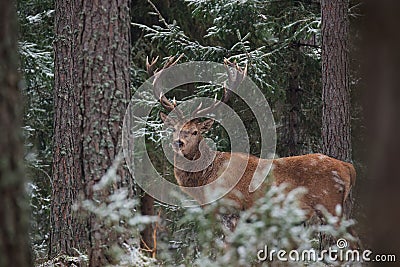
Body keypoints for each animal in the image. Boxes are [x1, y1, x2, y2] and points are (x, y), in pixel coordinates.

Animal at [148, 57, 356, 228]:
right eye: (173, 128)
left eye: (195, 131)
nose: (178, 143)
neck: (205, 182)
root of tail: (348, 167)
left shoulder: (232, 209)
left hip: (330, 205)